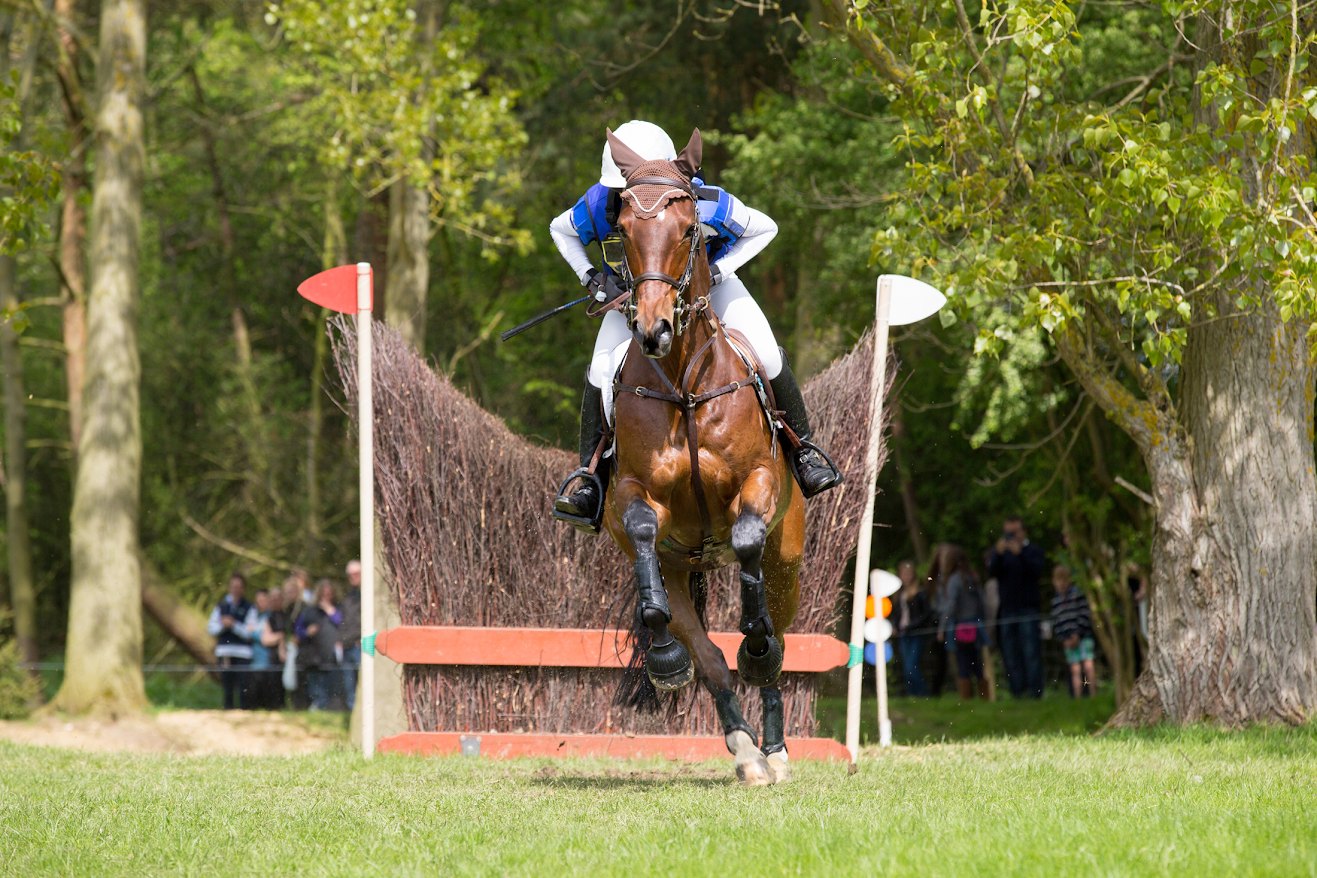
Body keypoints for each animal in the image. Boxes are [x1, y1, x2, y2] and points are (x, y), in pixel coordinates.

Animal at [598, 128, 806, 786]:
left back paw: (774, 746)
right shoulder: (636, 497)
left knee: (777, 631)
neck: (686, 386)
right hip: (676, 569)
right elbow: (642, 526)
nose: (654, 330)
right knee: (709, 657)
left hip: (789, 559)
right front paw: (664, 657)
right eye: (622, 233)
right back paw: (744, 750)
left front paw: (757, 648)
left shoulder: (758, 482)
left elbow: (745, 538)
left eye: (690, 227)